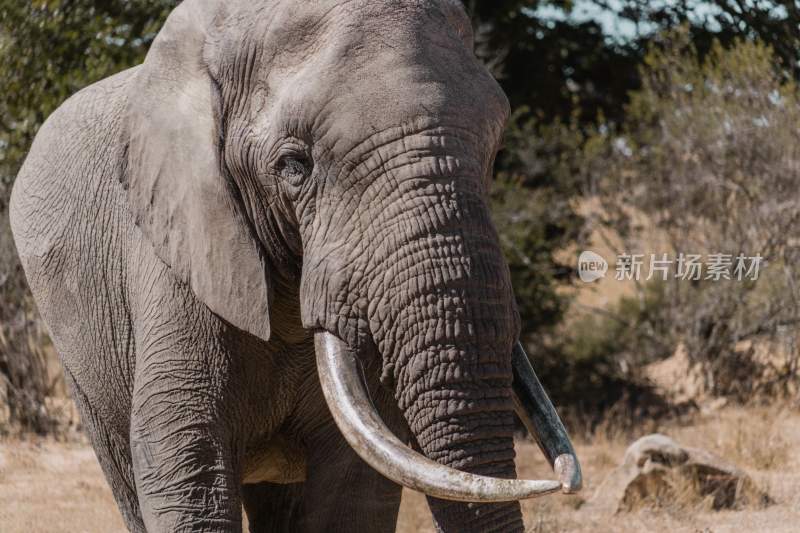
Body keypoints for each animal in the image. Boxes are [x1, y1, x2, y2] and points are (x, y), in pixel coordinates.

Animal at [10, 1, 580, 532]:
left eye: (494, 152)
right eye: (293, 167)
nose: (558, 483)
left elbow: (350, 492)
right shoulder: (175, 247)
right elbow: (187, 468)